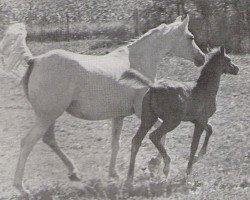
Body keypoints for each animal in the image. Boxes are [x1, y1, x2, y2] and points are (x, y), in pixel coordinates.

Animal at [0, 15, 204, 197]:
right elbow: (160, 135)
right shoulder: (144, 113)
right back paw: (21, 188)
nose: (201, 58)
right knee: (28, 142)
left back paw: (74, 173)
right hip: (47, 115)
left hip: (49, 115)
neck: (136, 62)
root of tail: (34, 60)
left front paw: (114, 174)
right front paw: (155, 163)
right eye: (190, 37)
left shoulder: (119, 116)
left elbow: (116, 143)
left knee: (49, 140)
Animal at [119, 46, 238, 184]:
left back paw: (129, 178)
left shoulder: (197, 120)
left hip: (148, 118)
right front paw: (188, 170)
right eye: (228, 60)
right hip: (172, 121)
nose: (237, 69)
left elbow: (210, 129)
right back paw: (166, 167)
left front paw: (199, 156)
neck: (204, 89)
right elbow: (194, 144)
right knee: (154, 136)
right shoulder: (201, 120)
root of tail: (153, 87)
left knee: (136, 141)